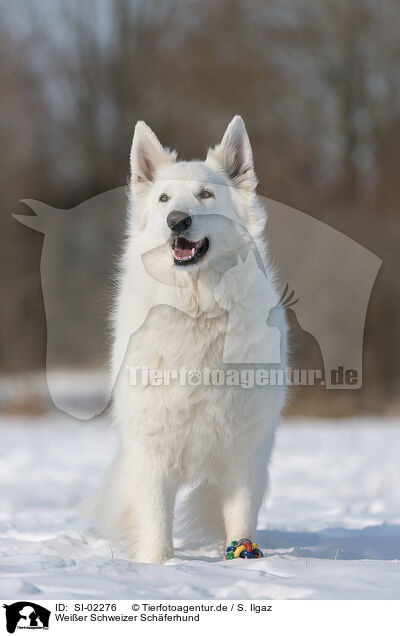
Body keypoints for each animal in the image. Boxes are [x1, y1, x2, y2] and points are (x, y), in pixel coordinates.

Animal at [95, 114, 286, 560]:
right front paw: (158, 565)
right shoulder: (152, 450)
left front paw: (243, 557)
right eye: (164, 199)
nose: (177, 221)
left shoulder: (244, 451)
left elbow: (240, 517)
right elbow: (156, 525)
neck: (197, 311)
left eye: (205, 194)